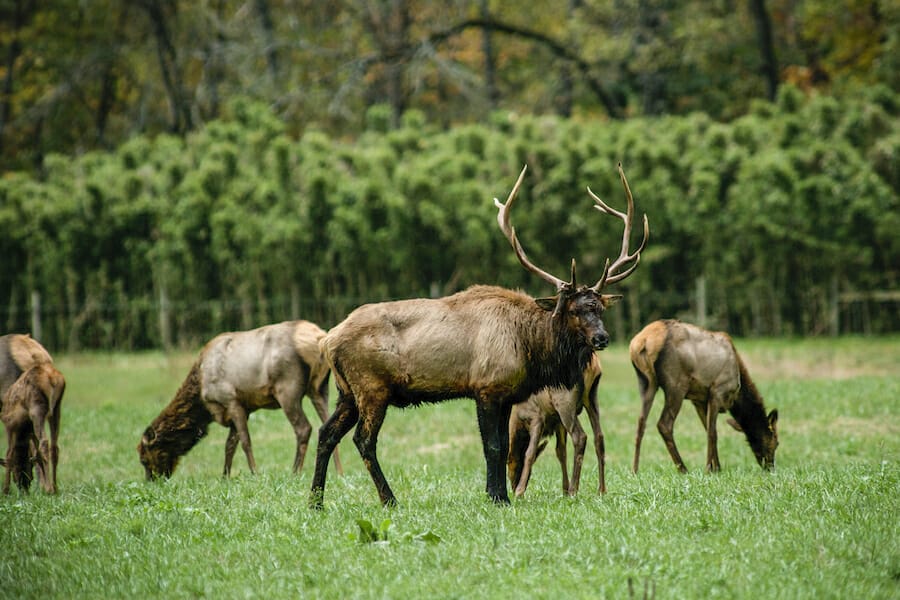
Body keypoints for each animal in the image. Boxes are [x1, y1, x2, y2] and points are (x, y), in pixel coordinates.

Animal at [507, 352, 605, 498]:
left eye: (516, 466)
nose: (513, 488)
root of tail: (593, 364)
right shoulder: (558, 421)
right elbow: (561, 452)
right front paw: (564, 489)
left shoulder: (537, 417)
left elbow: (530, 452)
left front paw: (520, 491)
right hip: (591, 397)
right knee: (599, 437)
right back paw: (601, 490)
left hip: (565, 403)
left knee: (580, 437)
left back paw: (574, 490)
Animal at [630, 319, 779, 474]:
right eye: (776, 442)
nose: (771, 467)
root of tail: (642, 341)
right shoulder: (717, 391)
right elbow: (712, 433)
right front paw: (710, 469)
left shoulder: (699, 400)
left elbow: (708, 429)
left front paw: (716, 468)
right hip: (676, 384)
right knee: (664, 424)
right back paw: (683, 469)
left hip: (646, 383)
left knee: (641, 422)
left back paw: (635, 470)